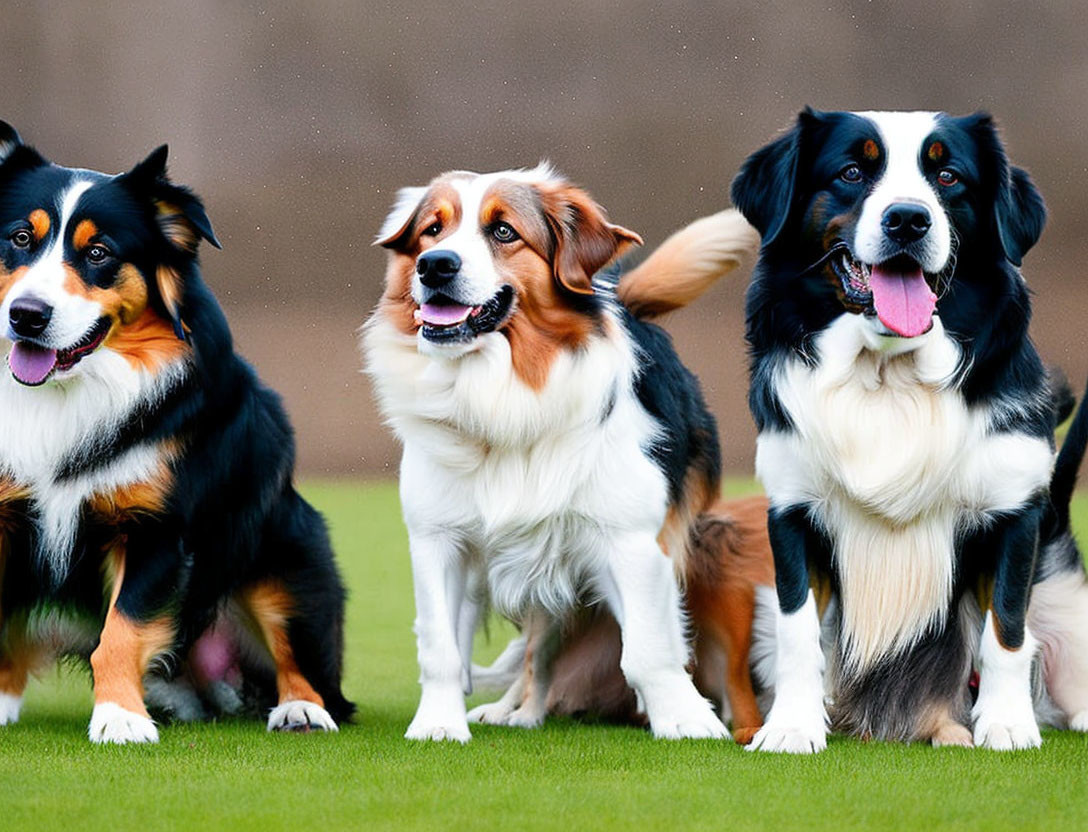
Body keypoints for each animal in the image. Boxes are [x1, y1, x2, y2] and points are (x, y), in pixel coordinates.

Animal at [365, 164, 757, 739]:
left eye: (504, 231)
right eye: (431, 231)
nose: (434, 265)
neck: (500, 394)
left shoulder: (631, 542)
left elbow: (649, 649)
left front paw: (685, 720)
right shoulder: (438, 539)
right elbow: (441, 648)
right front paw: (437, 724)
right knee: (530, 652)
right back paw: (516, 711)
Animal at [731, 110, 1079, 752]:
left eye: (947, 175)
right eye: (851, 172)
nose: (909, 219)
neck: (888, 375)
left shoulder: (1013, 512)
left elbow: (1006, 627)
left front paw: (1006, 723)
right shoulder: (792, 510)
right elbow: (798, 630)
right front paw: (792, 725)